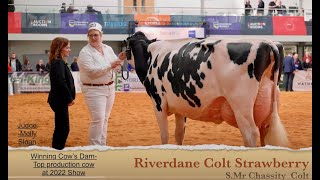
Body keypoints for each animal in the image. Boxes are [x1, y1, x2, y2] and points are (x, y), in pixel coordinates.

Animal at [125, 31, 288, 147]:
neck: (150, 55)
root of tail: (267, 43)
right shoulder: (180, 107)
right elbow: (179, 134)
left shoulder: (158, 103)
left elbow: (164, 135)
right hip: (268, 106)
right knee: (264, 131)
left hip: (241, 105)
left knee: (250, 134)